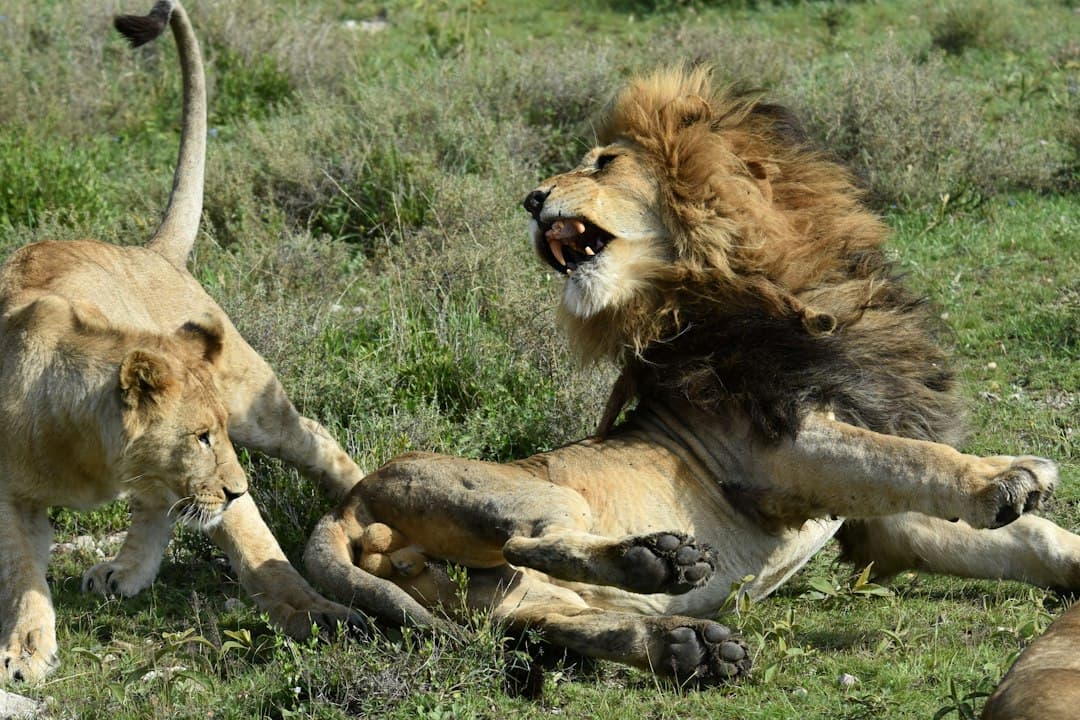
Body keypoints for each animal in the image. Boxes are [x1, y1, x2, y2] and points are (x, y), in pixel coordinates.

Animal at [0, 0, 366, 682]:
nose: (239, 487)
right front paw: (25, 651)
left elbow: (258, 550)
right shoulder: (11, 495)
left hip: (257, 404)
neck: (90, 453)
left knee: (317, 441)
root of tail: (148, 252)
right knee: (152, 505)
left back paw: (363, 499)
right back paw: (124, 572)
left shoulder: (225, 470)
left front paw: (320, 617)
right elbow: (22, 574)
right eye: (197, 436)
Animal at [303, 66, 1078, 684]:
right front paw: (1006, 477)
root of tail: (350, 502)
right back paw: (661, 566)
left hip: (503, 595)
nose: (530, 198)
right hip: (529, 498)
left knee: (550, 618)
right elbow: (917, 455)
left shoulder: (878, 526)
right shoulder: (781, 454)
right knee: (532, 539)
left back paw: (689, 645)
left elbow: (1026, 539)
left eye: (604, 162)